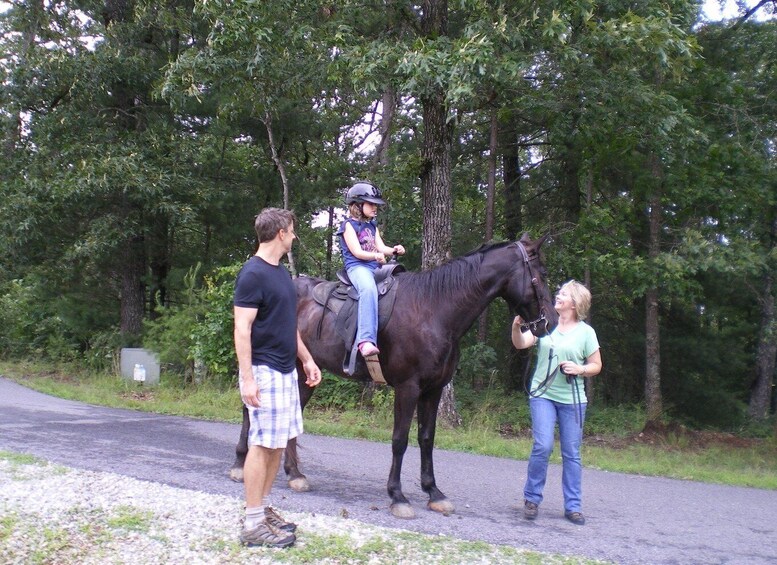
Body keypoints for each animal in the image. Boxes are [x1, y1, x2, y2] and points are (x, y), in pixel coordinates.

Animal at [227, 232, 556, 516]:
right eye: (541, 274)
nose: (550, 322)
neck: (435, 310)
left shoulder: (434, 389)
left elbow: (426, 438)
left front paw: (433, 492)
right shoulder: (408, 387)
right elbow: (400, 440)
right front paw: (397, 495)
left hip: (304, 372)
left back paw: (295, 474)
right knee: (248, 409)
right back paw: (241, 464)